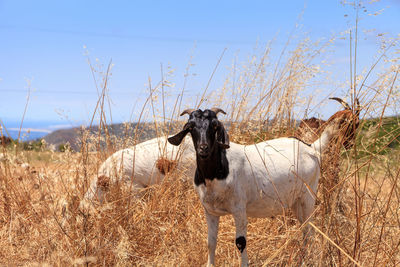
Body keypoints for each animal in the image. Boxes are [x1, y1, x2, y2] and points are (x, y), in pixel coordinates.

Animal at [167, 108, 352, 266]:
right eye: (191, 127)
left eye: (214, 125)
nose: (203, 148)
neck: (218, 171)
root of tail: (312, 148)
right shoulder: (210, 211)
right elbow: (210, 242)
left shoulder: (239, 209)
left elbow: (240, 243)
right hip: (296, 202)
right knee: (305, 231)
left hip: (308, 196)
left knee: (310, 231)